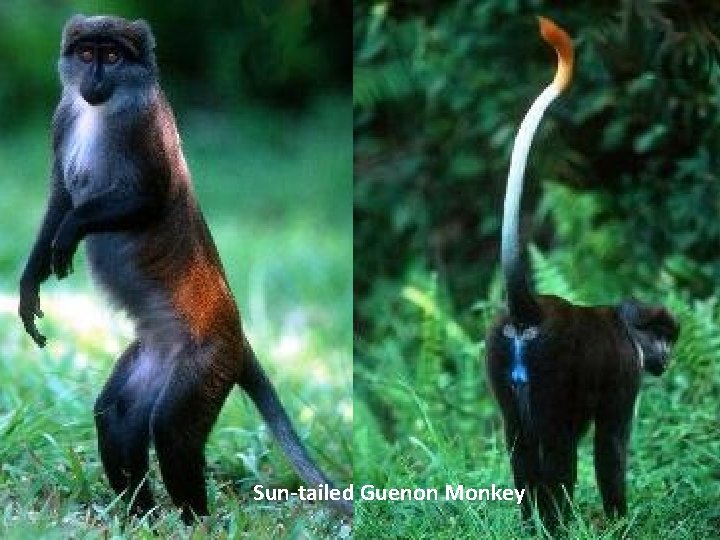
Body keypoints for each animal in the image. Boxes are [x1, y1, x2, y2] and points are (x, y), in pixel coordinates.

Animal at [17, 15, 351, 523]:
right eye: (87, 53)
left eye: (112, 56)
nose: (94, 79)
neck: (103, 111)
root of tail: (235, 332)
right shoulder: (62, 119)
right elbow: (59, 196)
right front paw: (28, 286)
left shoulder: (144, 127)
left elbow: (150, 198)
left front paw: (73, 228)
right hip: (154, 359)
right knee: (115, 414)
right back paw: (141, 514)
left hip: (205, 364)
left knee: (173, 429)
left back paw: (196, 521)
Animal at [485, 17, 679, 529]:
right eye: (663, 339)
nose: (666, 357)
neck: (626, 323)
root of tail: (529, 311)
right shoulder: (626, 374)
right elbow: (610, 448)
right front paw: (621, 523)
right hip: (553, 375)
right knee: (559, 451)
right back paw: (559, 525)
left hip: (500, 364)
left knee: (521, 446)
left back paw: (533, 525)